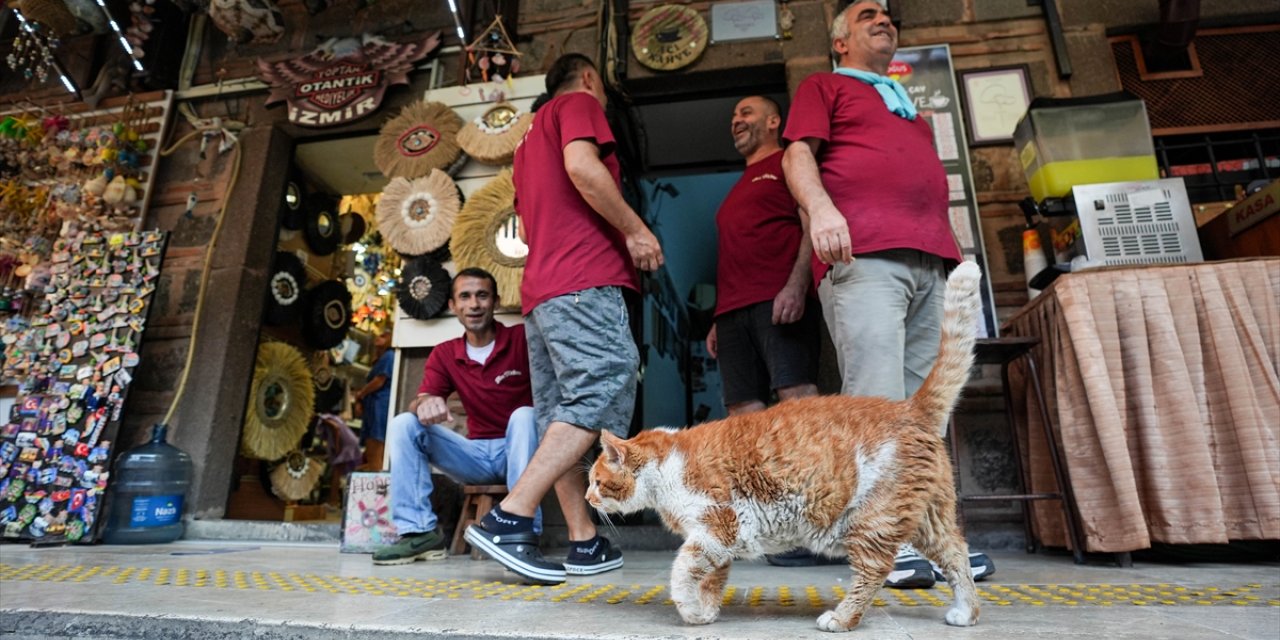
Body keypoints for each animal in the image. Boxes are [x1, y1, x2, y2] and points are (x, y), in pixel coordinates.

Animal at [586, 259, 983, 629]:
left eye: (596, 481)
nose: (588, 498)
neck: (664, 471)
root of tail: (910, 407)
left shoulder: (717, 526)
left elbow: (682, 573)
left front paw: (688, 608)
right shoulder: (720, 541)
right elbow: (712, 581)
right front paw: (706, 614)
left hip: (873, 520)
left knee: (874, 571)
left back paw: (842, 618)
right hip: (929, 520)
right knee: (956, 554)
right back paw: (966, 612)